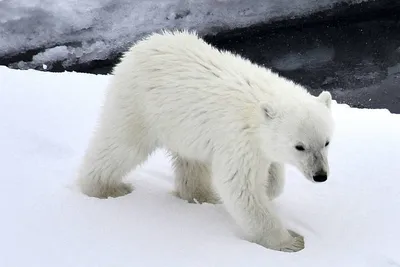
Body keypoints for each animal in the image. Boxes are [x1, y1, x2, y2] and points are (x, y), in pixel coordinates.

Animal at [77, 29, 334, 253]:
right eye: (300, 146)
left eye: (327, 142)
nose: (320, 176)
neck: (258, 107)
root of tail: (138, 47)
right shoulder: (238, 138)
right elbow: (241, 187)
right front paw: (291, 243)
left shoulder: (257, 143)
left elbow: (272, 174)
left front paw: (269, 187)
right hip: (139, 106)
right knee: (121, 147)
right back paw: (104, 188)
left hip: (182, 127)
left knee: (192, 161)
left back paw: (201, 195)